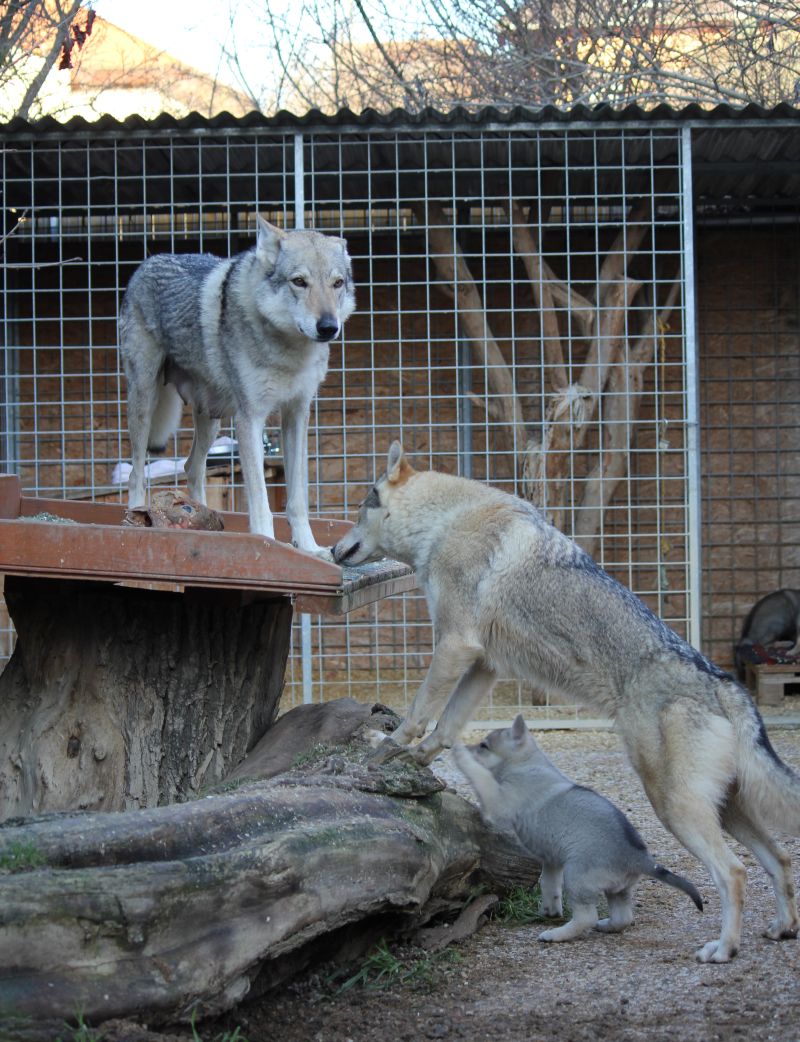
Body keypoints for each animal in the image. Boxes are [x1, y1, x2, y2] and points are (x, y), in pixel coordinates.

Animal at [118, 219, 356, 554]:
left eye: (337, 283)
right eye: (299, 281)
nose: (328, 327)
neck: (288, 352)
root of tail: (148, 261)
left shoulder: (297, 415)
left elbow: (298, 499)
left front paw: (309, 548)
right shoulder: (250, 419)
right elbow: (260, 499)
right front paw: (267, 543)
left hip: (211, 419)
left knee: (192, 467)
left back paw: (202, 518)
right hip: (144, 402)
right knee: (136, 472)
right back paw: (136, 516)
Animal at [456, 716, 700, 946]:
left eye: (484, 745)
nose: (466, 745)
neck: (526, 763)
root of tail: (640, 858)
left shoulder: (497, 804)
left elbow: (479, 775)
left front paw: (459, 755)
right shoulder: (551, 860)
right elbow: (549, 884)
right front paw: (550, 910)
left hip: (576, 877)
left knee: (587, 917)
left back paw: (555, 935)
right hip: (618, 890)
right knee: (623, 918)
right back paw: (605, 926)